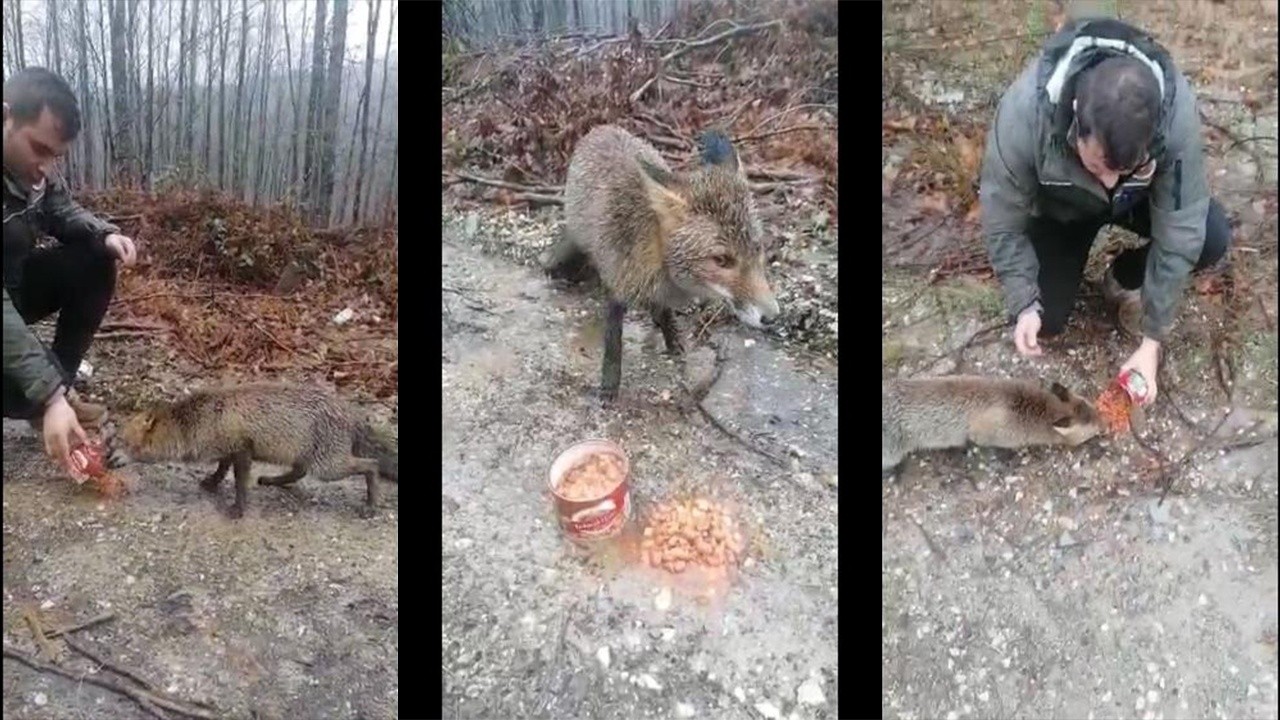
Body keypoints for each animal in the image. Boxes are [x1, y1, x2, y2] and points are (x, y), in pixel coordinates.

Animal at [112, 381, 396, 515]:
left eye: (122, 442)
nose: (108, 458)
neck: (201, 419)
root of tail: (352, 413)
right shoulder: (229, 448)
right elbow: (221, 470)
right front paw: (212, 483)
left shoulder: (242, 450)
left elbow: (239, 484)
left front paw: (238, 510)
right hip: (310, 459)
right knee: (298, 472)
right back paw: (273, 480)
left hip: (327, 466)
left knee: (371, 465)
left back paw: (372, 503)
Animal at [542, 125, 778, 399]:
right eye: (722, 260)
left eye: (757, 248)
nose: (772, 316)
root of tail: (602, 128)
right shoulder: (619, 284)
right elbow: (613, 345)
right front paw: (609, 388)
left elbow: (665, 314)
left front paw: (673, 341)